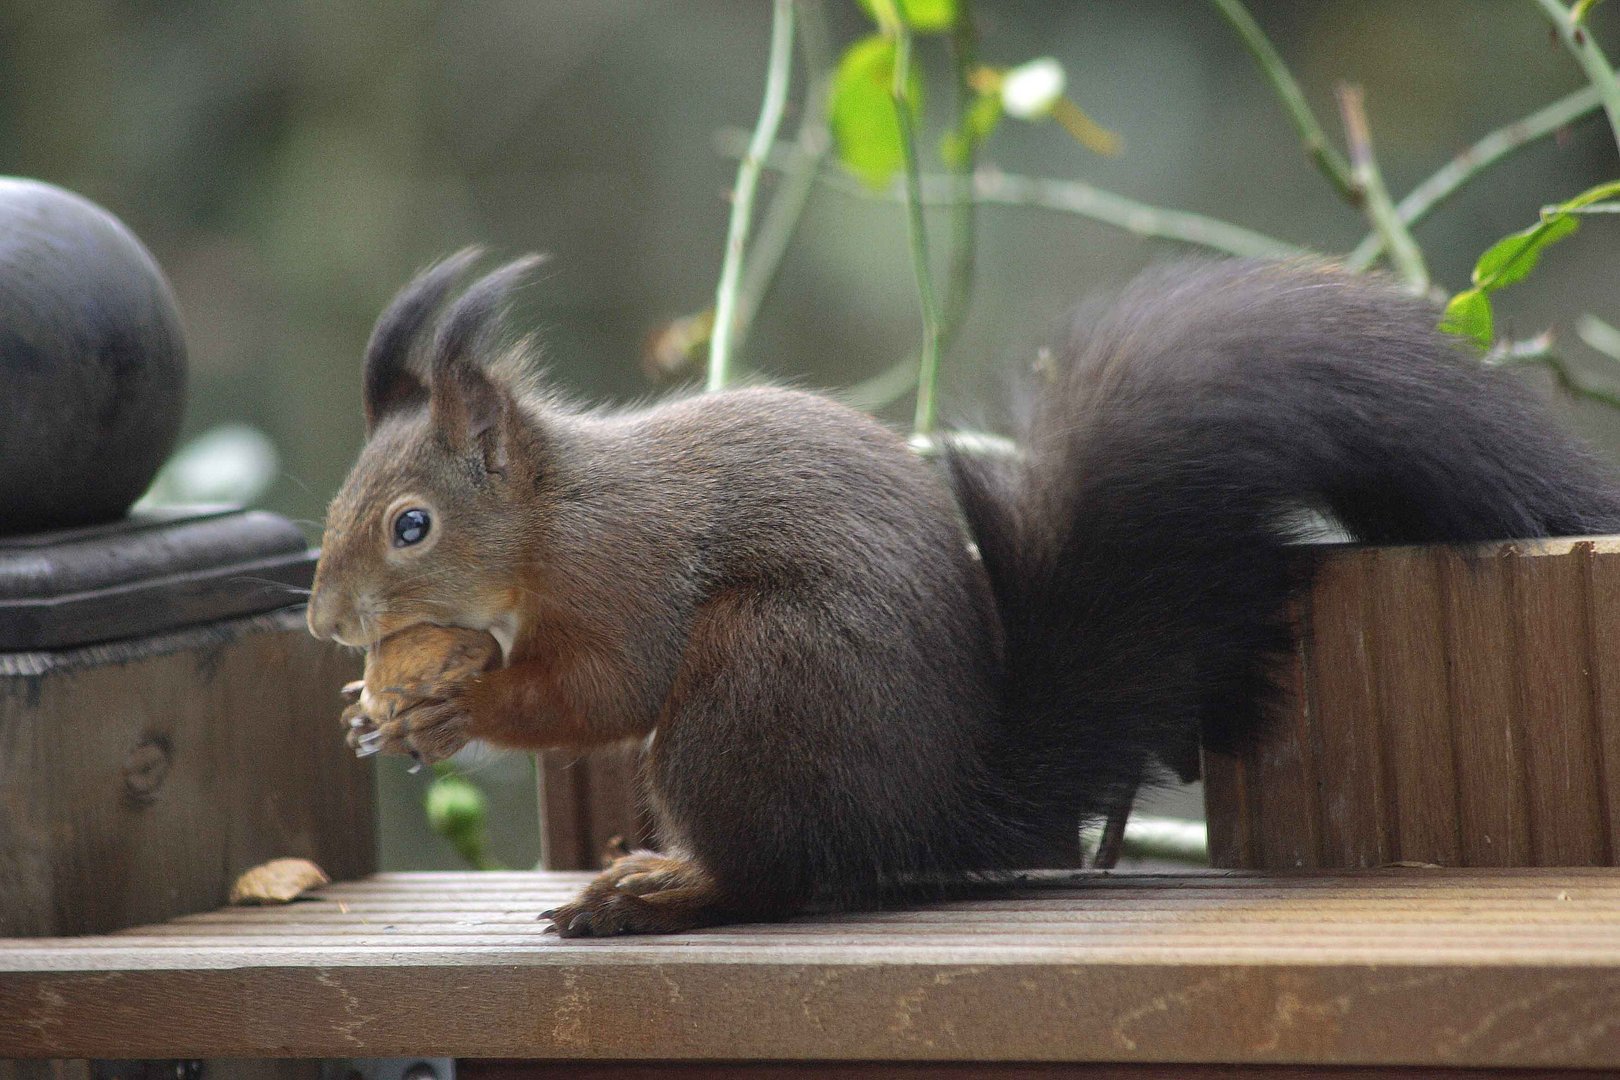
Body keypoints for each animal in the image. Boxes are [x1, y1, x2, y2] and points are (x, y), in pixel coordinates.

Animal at [309, 249, 1620, 932]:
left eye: (411, 526)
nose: (323, 620)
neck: (546, 522)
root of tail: (941, 805)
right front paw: (374, 714)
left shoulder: (626, 573)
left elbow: (603, 689)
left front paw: (459, 706)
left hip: (752, 686)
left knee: (772, 878)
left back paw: (656, 888)